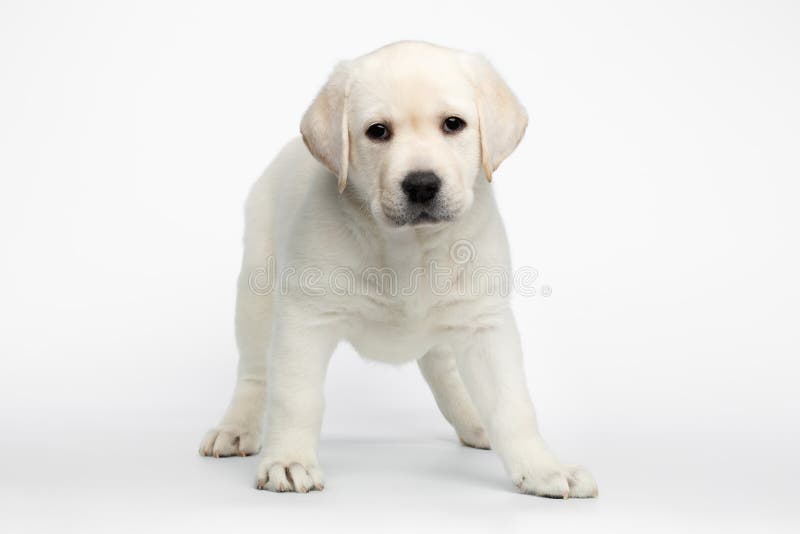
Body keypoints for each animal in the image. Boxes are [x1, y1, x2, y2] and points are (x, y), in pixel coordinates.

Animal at [200, 42, 596, 502]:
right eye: (377, 131)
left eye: (453, 124)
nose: (422, 185)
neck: (410, 247)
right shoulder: (305, 319)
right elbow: (295, 398)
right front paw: (289, 460)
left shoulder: (484, 322)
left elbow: (512, 404)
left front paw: (541, 468)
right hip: (256, 293)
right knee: (255, 372)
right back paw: (236, 428)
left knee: (445, 369)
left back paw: (474, 420)